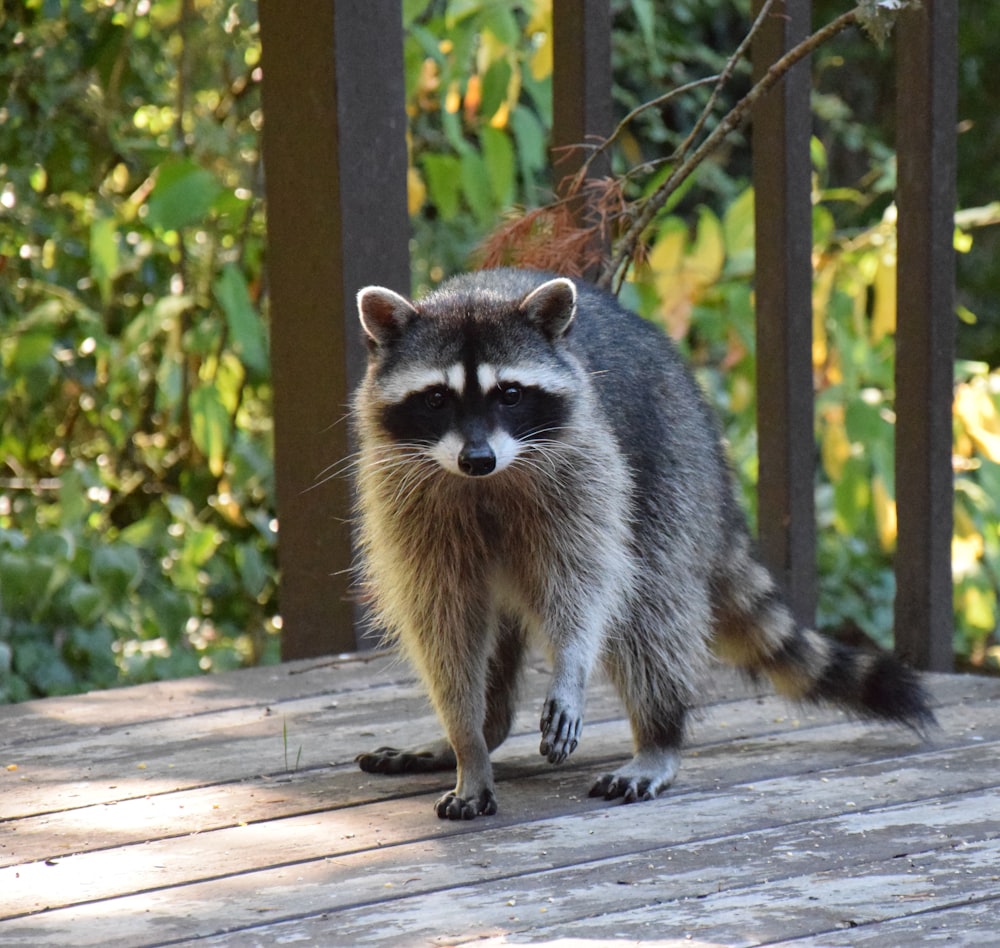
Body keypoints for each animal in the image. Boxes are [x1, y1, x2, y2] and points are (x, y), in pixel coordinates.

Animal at [350, 268, 928, 824]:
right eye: (436, 398)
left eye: (510, 394)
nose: (477, 459)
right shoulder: (406, 496)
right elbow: (443, 621)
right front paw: (467, 742)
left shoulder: (585, 466)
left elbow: (585, 583)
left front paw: (571, 665)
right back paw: (486, 729)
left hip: (669, 468)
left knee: (649, 610)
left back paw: (659, 736)